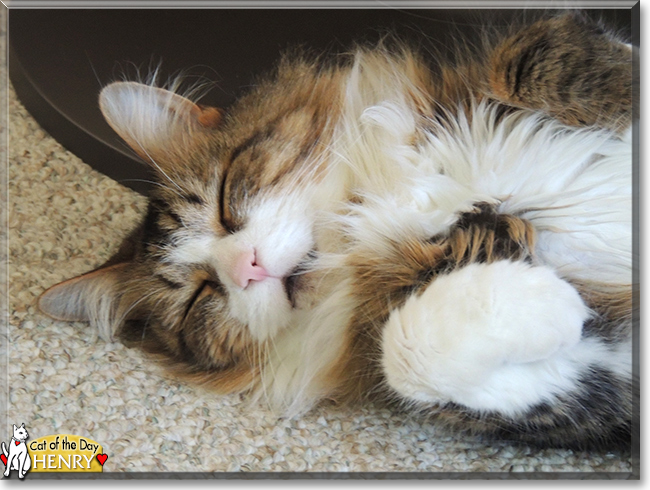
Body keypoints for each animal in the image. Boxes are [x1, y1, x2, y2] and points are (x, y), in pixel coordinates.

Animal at [36, 13, 632, 452]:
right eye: (198, 299)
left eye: (226, 201)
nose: (247, 266)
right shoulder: (602, 395)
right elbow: (407, 351)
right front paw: (544, 298)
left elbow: (542, 60)